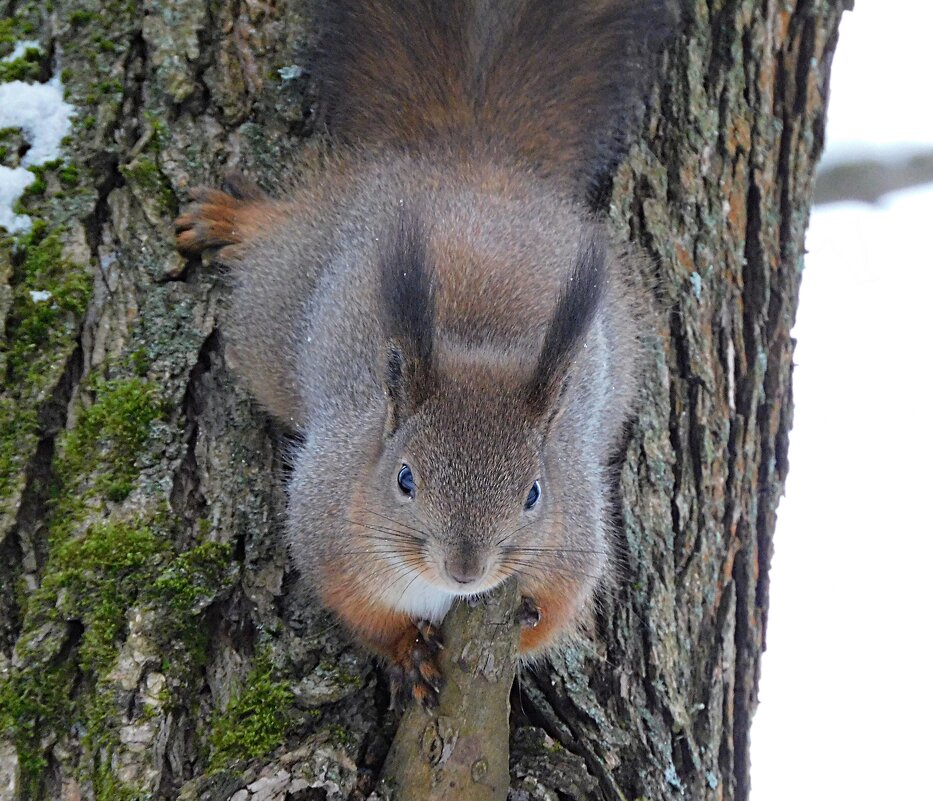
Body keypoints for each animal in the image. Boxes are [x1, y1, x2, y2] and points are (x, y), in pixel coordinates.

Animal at [177, 0, 676, 704]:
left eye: (535, 493)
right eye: (404, 479)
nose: (466, 568)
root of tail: (471, 157)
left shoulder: (576, 528)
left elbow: (556, 611)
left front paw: (528, 623)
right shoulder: (328, 520)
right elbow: (358, 609)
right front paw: (409, 652)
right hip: (277, 305)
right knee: (277, 239)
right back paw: (233, 220)